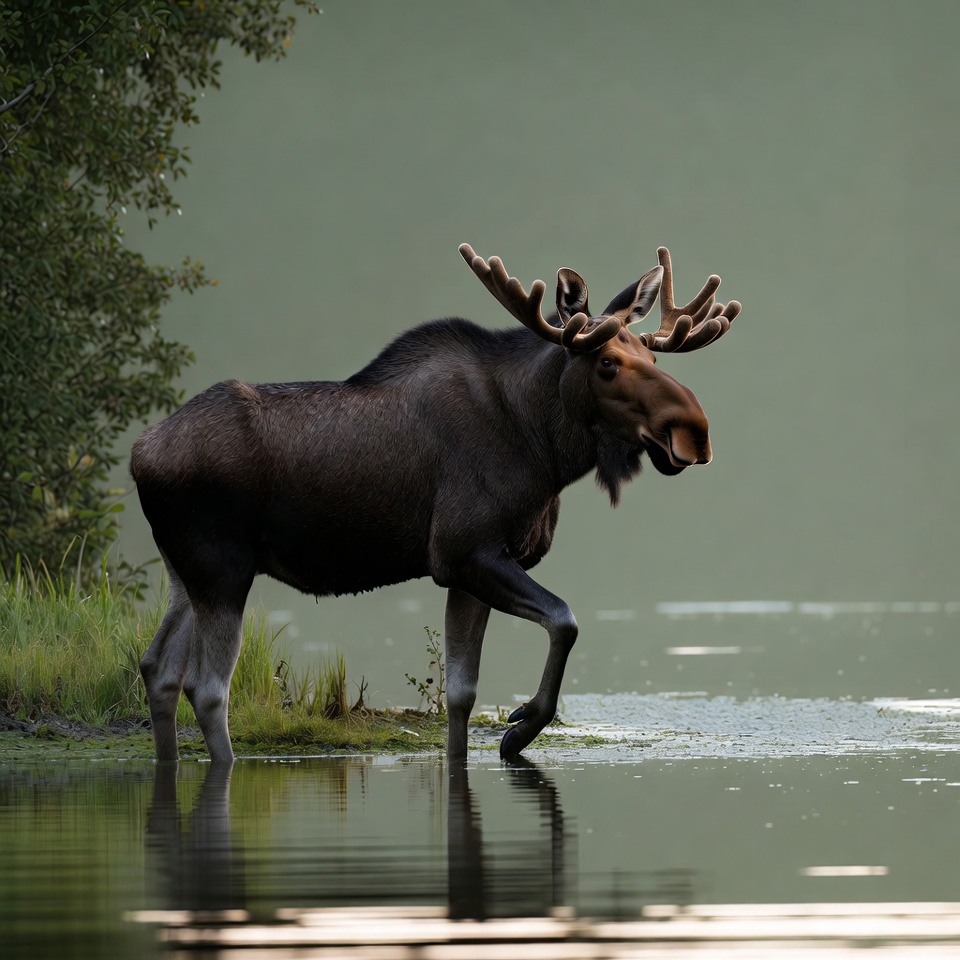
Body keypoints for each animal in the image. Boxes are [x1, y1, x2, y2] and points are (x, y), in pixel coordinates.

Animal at [130, 244, 740, 765]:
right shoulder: (465, 551)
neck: (544, 449)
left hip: (186, 572)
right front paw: (521, 728)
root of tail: (140, 455)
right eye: (608, 362)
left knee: (157, 668)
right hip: (223, 567)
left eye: (651, 356)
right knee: (208, 688)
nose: (695, 431)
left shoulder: (472, 569)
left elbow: (461, 694)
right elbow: (565, 620)